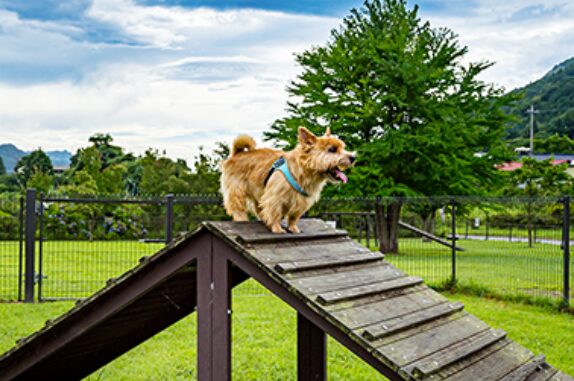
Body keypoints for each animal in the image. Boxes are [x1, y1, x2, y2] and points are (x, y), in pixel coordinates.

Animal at [220, 127, 356, 233]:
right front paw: (277, 228)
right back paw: (242, 220)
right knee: (237, 208)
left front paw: (293, 228)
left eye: (343, 147)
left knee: (259, 209)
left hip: (258, 192)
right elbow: (275, 213)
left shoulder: (301, 201)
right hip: (237, 191)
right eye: (332, 149)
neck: (305, 172)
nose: (353, 157)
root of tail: (237, 154)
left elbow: (293, 217)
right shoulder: (274, 197)